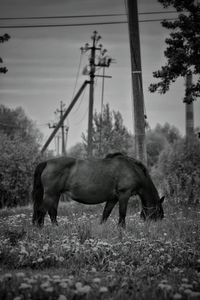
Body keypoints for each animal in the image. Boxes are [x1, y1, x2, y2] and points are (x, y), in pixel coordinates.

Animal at [32, 152, 164, 227]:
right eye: (158, 211)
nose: (157, 226)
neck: (132, 169)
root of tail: (47, 162)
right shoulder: (124, 195)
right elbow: (122, 214)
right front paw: (122, 228)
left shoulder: (113, 198)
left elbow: (106, 213)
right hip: (51, 195)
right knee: (41, 211)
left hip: (55, 195)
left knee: (52, 212)